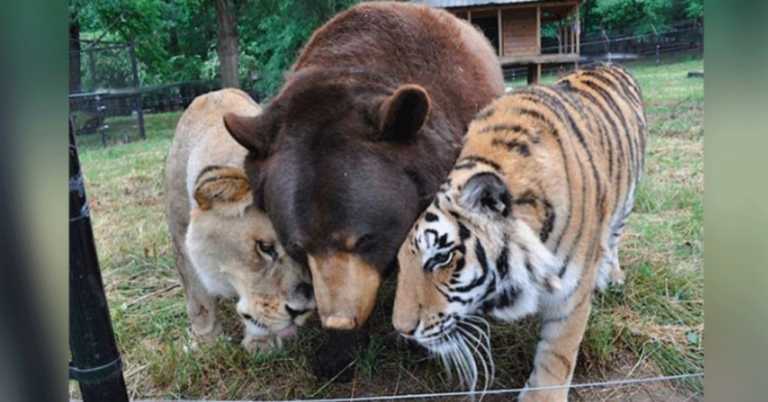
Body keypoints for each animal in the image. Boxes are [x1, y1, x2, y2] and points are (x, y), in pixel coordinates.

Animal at [165, 88, 315, 352]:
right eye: (265, 247)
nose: (302, 310)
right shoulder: (180, 239)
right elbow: (198, 300)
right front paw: (207, 342)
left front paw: (261, 342)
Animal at [392, 64, 646, 401]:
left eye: (441, 258)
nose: (402, 330)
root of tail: (610, 64)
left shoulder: (572, 295)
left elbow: (557, 355)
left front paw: (542, 396)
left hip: (627, 200)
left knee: (615, 236)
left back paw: (613, 275)